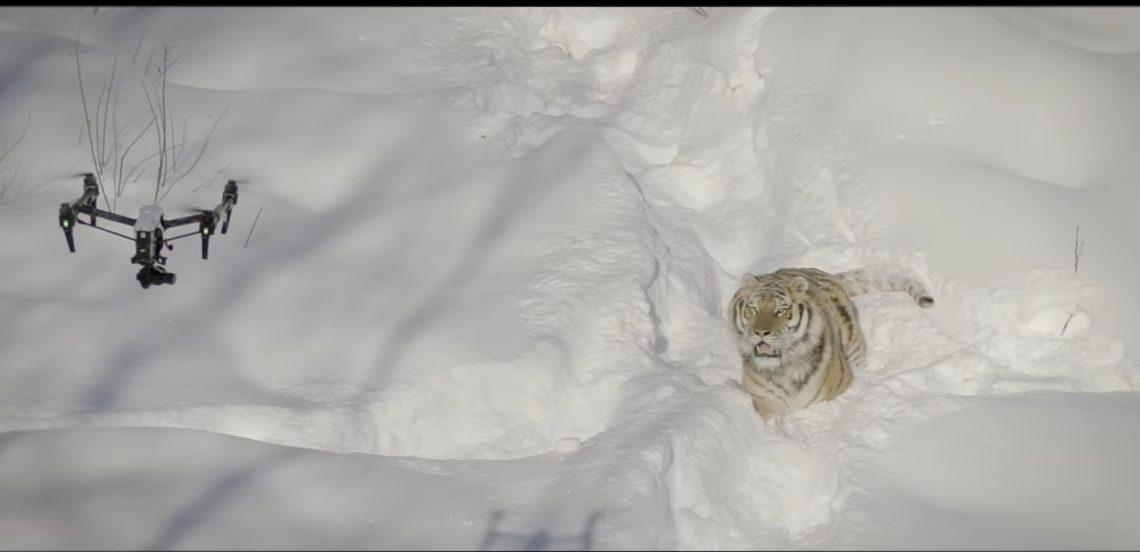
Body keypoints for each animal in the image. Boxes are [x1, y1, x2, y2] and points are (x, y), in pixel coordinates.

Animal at [729, 265, 934, 419]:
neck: (783, 369)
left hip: (853, 345)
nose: (760, 332)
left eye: (780, 310)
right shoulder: (762, 399)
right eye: (753, 309)